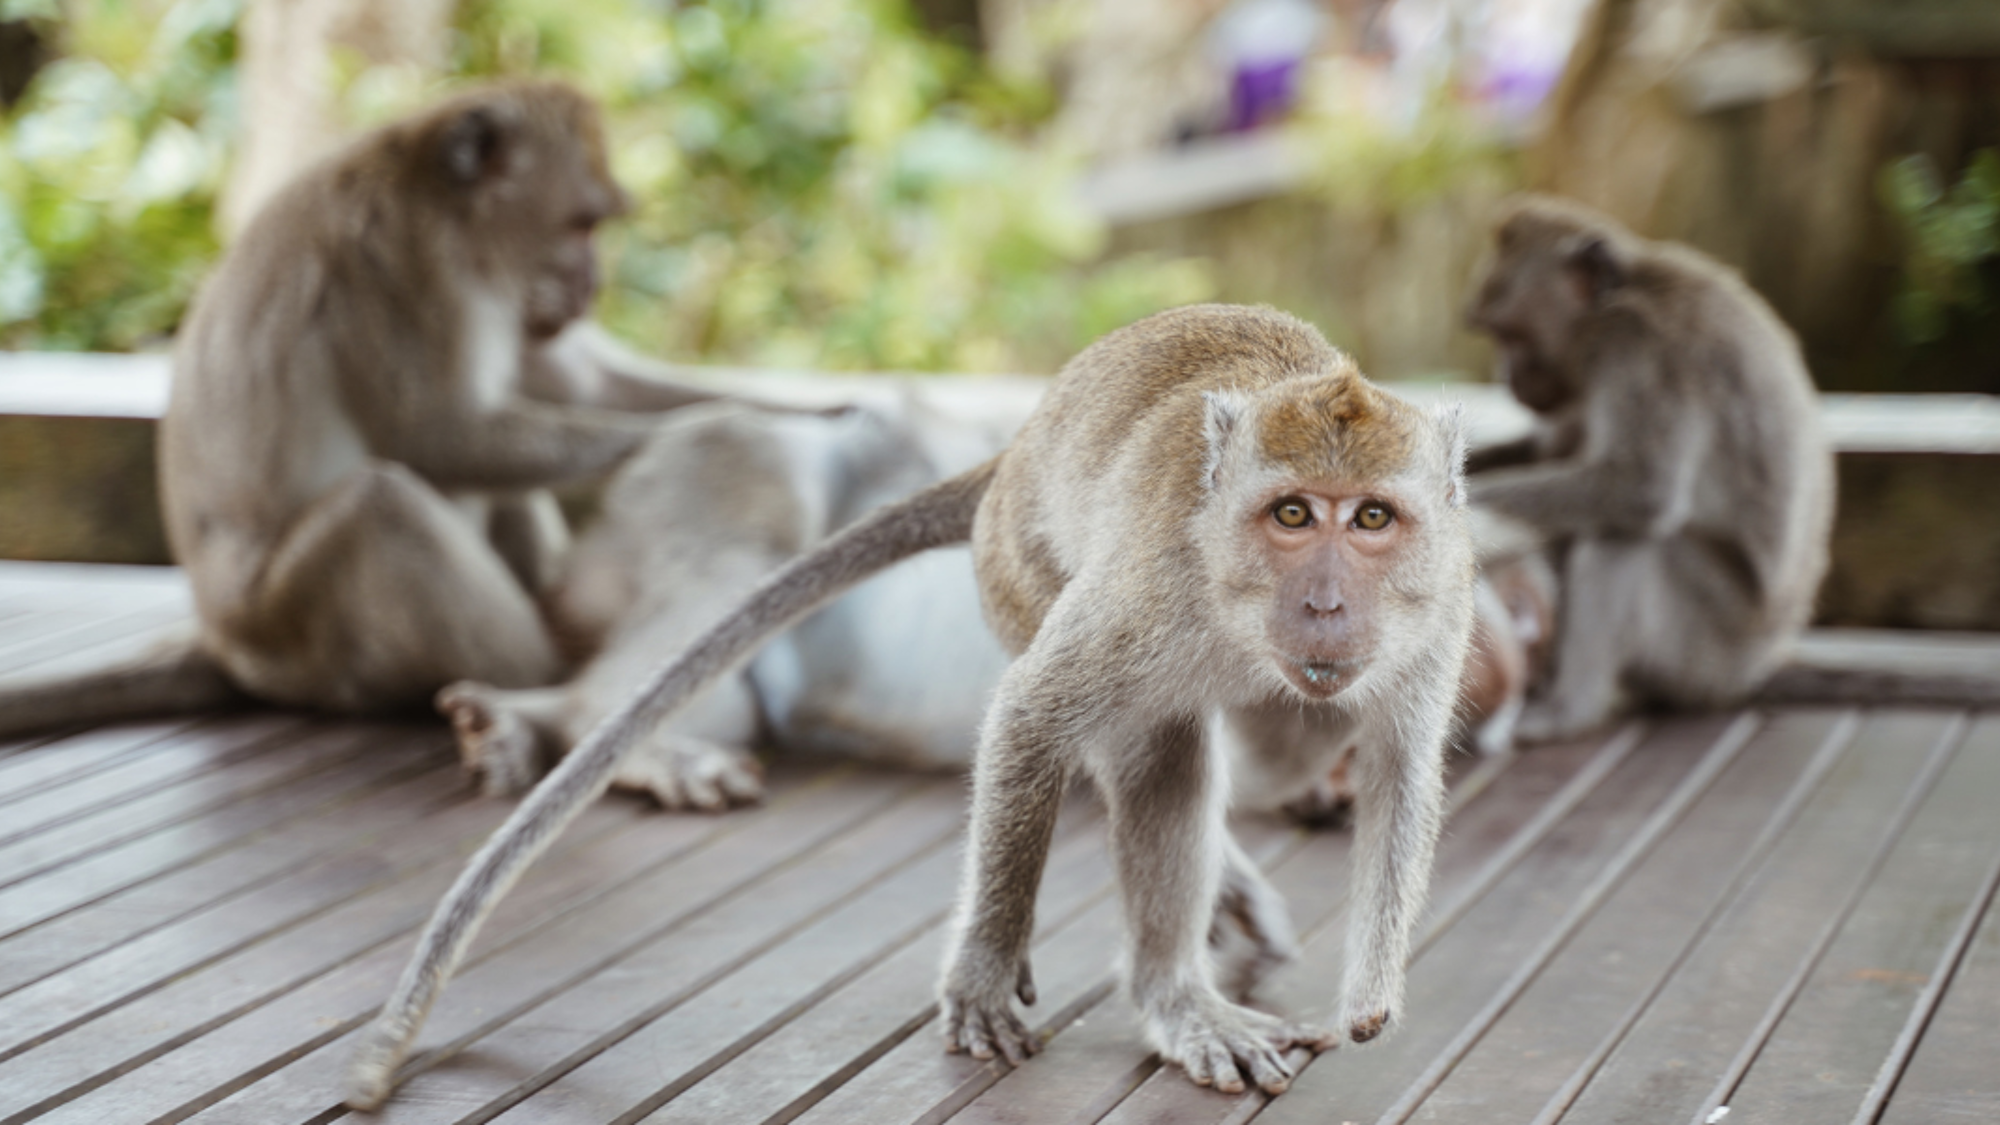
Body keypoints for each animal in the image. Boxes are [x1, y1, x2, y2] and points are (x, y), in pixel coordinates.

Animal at [0, 81, 741, 740]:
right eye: (583, 224)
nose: (594, 283)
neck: (446, 205)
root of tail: (227, 645)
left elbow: (585, 389)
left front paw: (756, 410)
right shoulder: (406, 265)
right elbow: (438, 436)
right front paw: (693, 436)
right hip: (295, 633)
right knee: (380, 506)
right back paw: (546, 685)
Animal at [1464, 195, 1836, 742]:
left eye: (1510, 334)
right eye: (1493, 334)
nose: (1504, 375)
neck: (1620, 297)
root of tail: (1760, 662)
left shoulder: (1636, 349)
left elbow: (1639, 488)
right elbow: (1550, 454)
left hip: (1708, 647)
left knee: (1621, 537)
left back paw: (1569, 710)